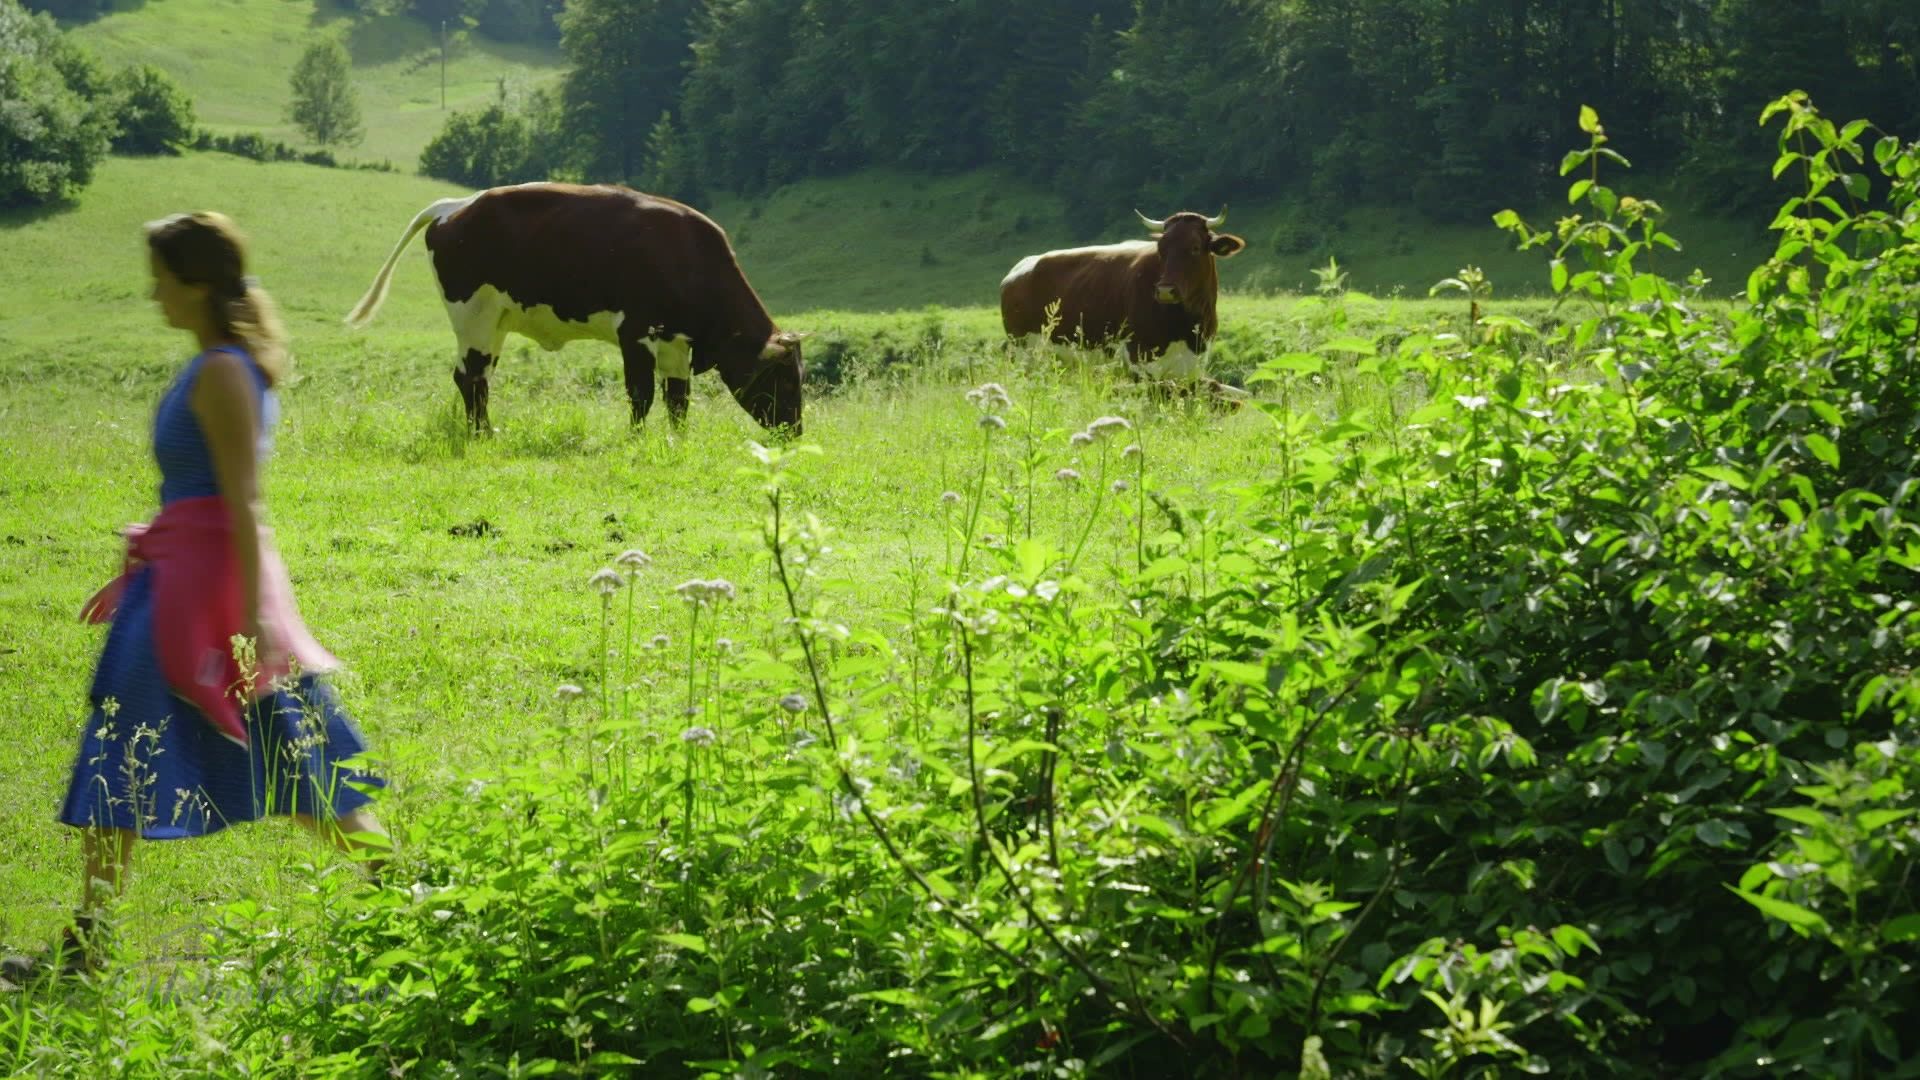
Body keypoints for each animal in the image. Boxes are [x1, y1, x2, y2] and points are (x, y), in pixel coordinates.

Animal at [345, 180, 802, 428]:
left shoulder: (676, 342)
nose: (794, 431)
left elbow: (678, 400)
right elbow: (641, 395)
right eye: (782, 379)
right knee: (470, 379)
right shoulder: (635, 333)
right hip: (473, 319)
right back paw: (481, 436)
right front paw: (636, 442)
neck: (689, 256)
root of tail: (454, 206)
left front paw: (677, 443)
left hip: (495, 324)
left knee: (477, 379)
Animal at [998, 205, 1251, 399]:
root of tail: (1022, 267)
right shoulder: (1141, 359)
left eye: (1195, 248)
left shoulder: (1193, 365)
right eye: (1161, 249)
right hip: (1023, 350)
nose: (1165, 290)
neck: (1185, 325)